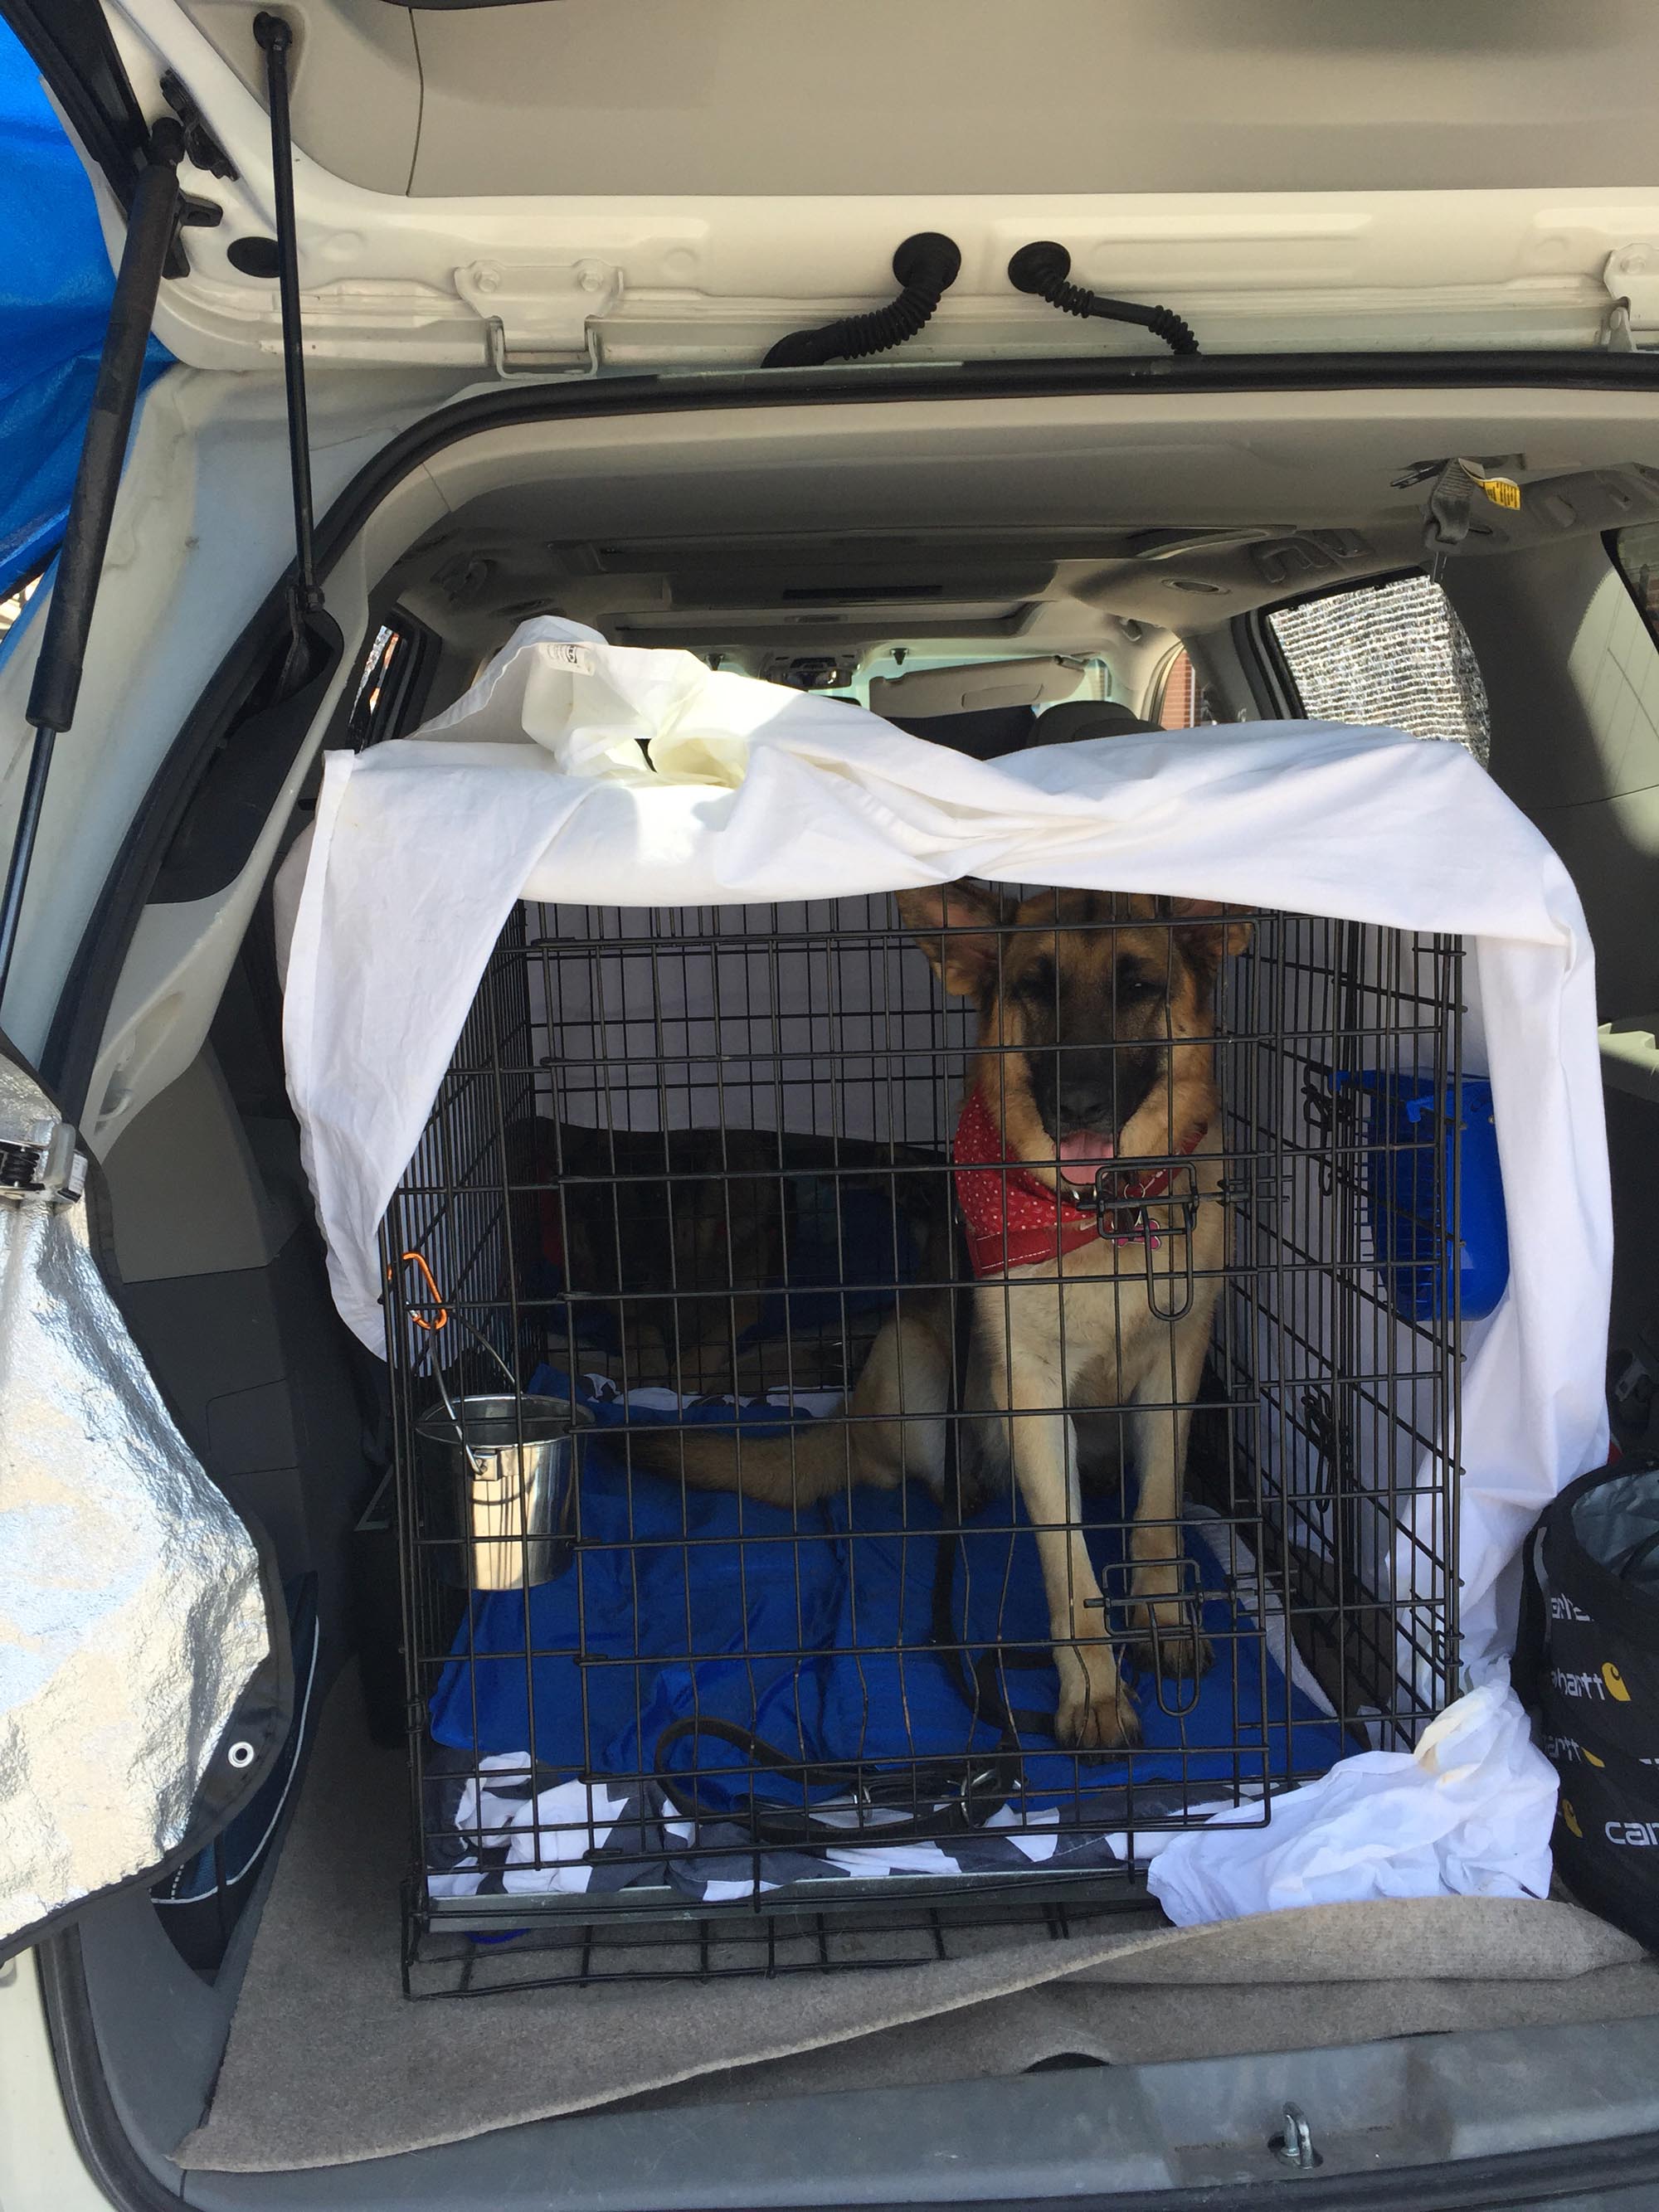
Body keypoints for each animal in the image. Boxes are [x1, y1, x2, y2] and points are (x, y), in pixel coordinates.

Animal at [628, 880, 1256, 1743]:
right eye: (1034, 987)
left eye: (1137, 986)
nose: (1077, 1103)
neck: (1104, 1214)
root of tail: (851, 1415)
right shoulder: (1032, 1388)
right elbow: (1069, 1568)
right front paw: (1093, 1690)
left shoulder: (1177, 1362)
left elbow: (1158, 1508)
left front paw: (1162, 1614)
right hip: (910, 1355)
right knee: (921, 1464)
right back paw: (963, 1486)